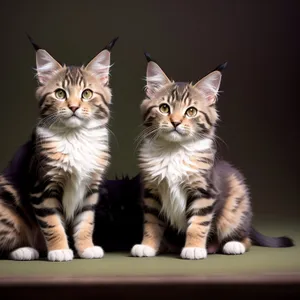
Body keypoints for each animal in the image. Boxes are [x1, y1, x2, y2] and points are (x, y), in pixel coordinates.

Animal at [0, 35, 118, 262]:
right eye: (60, 93)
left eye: (87, 94)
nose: (73, 107)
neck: (75, 137)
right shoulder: (42, 187)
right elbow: (52, 224)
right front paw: (60, 250)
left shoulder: (91, 188)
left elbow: (86, 222)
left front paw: (86, 248)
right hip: (6, 203)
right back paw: (24, 250)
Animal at [131, 54, 292, 260]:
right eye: (164, 108)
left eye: (191, 111)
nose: (175, 122)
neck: (173, 151)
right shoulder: (152, 193)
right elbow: (151, 223)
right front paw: (148, 246)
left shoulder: (205, 191)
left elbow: (198, 224)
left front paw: (194, 248)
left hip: (235, 207)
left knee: (245, 237)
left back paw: (232, 245)